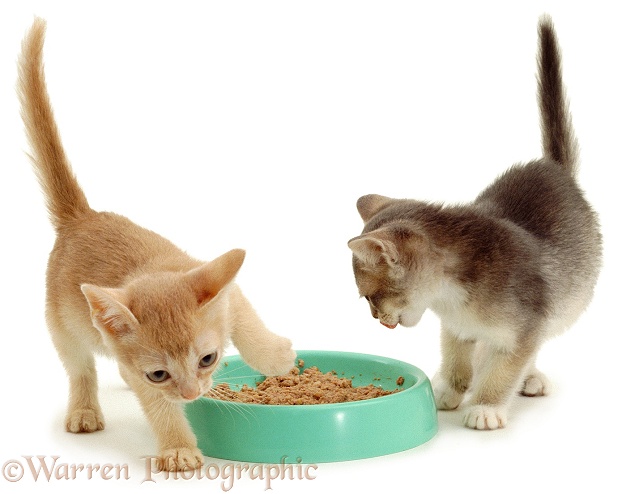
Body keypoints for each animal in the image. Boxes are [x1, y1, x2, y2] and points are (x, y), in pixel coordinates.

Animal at [15, 19, 296, 470]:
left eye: (208, 358)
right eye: (160, 373)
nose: (192, 394)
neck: (155, 272)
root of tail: (82, 216)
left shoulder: (221, 286)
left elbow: (248, 325)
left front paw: (277, 358)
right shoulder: (142, 373)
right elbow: (158, 406)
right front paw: (178, 447)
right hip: (61, 325)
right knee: (81, 370)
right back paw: (84, 410)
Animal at [348, 16, 604, 428]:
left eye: (370, 296)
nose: (376, 318)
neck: (450, 296)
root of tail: (553, 168)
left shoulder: (527, 325)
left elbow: (507, 366)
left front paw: (486, 405)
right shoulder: (455, 328)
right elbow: (456, 358)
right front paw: (448, 388)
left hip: (567, 300)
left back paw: (527, 377)